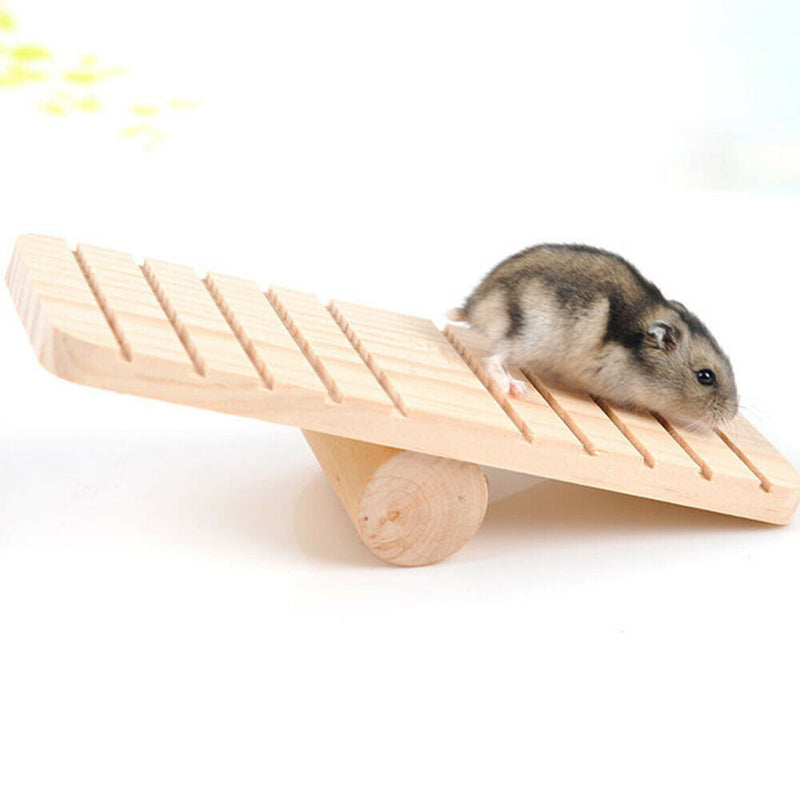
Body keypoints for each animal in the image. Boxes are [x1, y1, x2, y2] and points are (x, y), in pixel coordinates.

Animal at [449, 244, 738, 431]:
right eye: (705, 376)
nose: (732, 414)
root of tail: (475, 306)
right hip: (529, 337)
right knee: (494, 359)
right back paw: (515, 388)